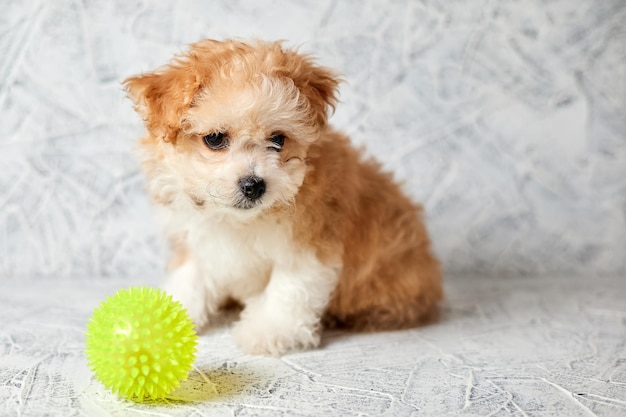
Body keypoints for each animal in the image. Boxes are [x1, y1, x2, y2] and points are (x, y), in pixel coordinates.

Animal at [124, 39, 442, 354]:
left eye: (278, 139)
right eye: (214, 139)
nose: (253, 185)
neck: (239, 220)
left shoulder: (308, 245)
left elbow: (288, 289)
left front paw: (269, 330)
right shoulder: (194, 237)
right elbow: (190, 278)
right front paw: (162, 322)